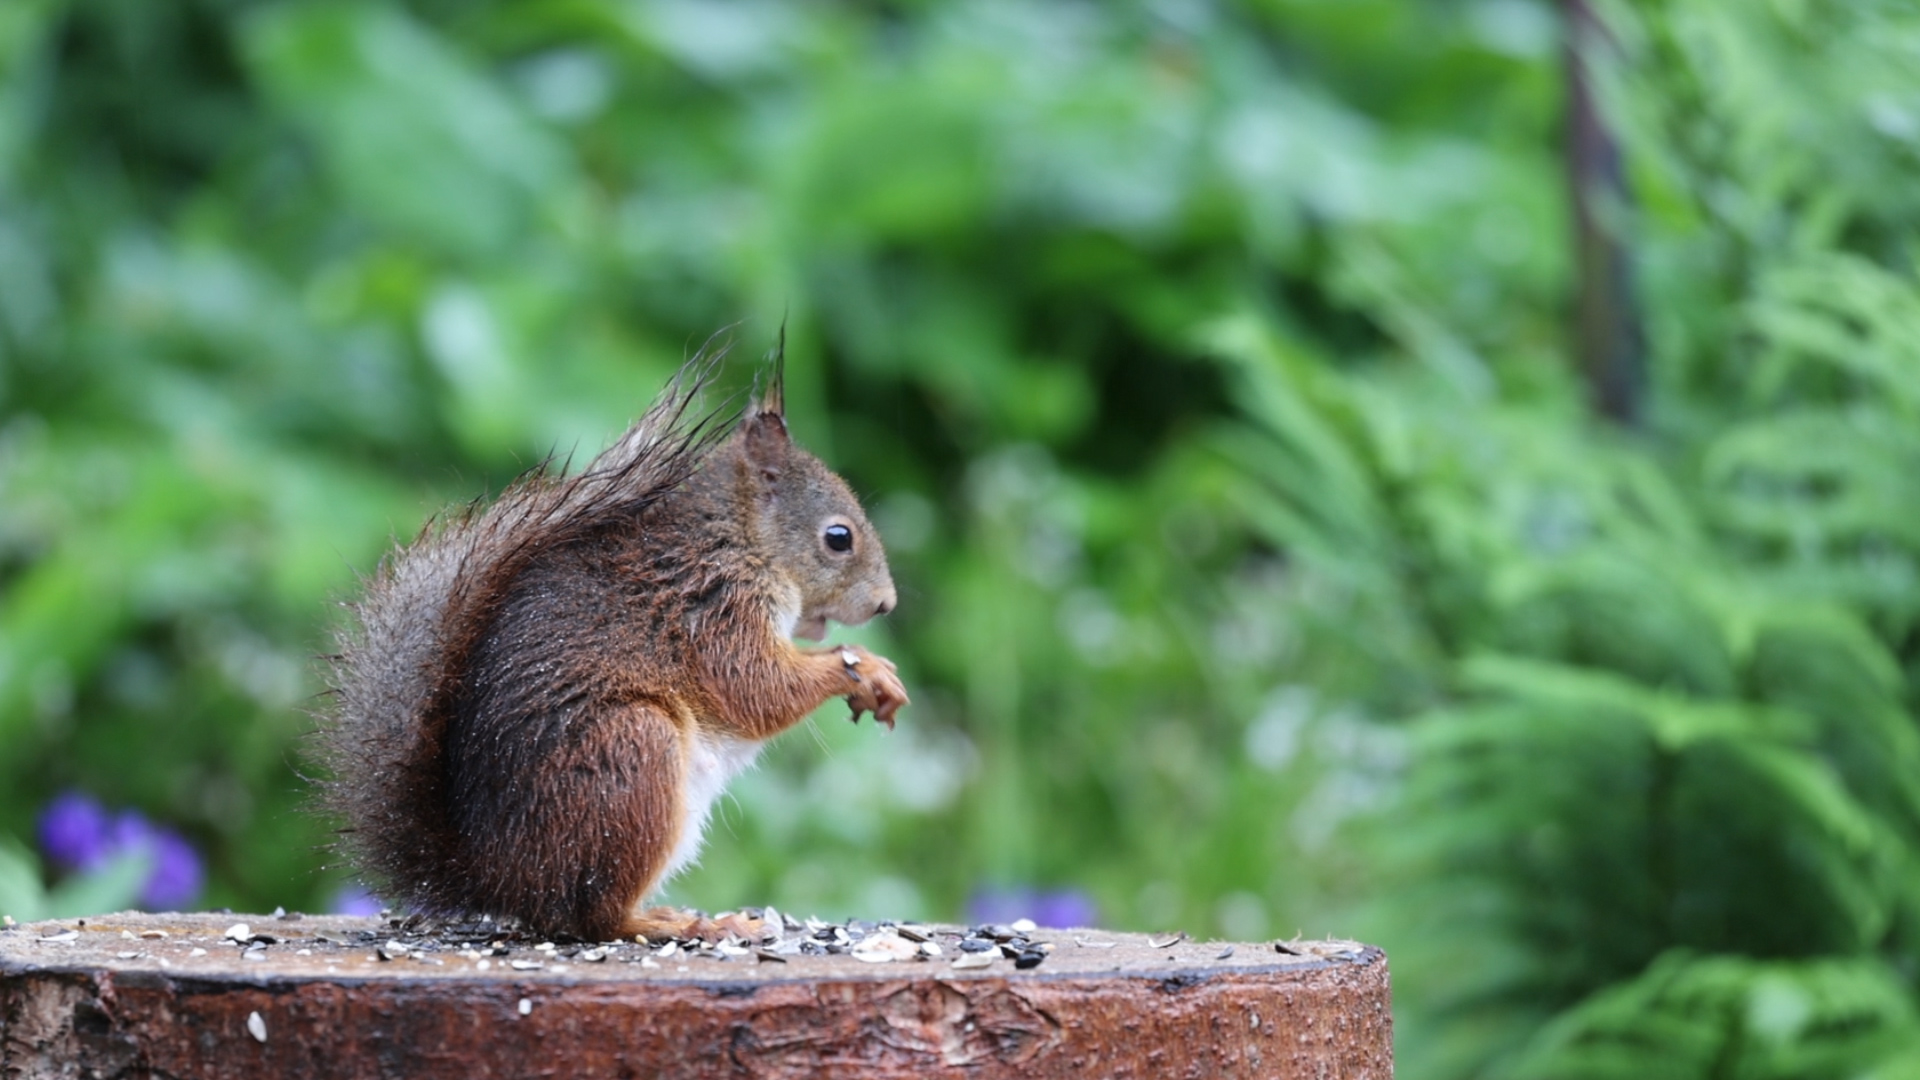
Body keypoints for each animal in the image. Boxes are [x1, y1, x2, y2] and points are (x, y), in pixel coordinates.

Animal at [314, 340, 906, 937]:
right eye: (838, 537)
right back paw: (679, 925)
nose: (886, 603)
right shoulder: (714, 607)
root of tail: (501, 879)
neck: (740, 540)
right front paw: (862, 668)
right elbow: (756, 688)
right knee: (595, 916)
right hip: (631, 753)